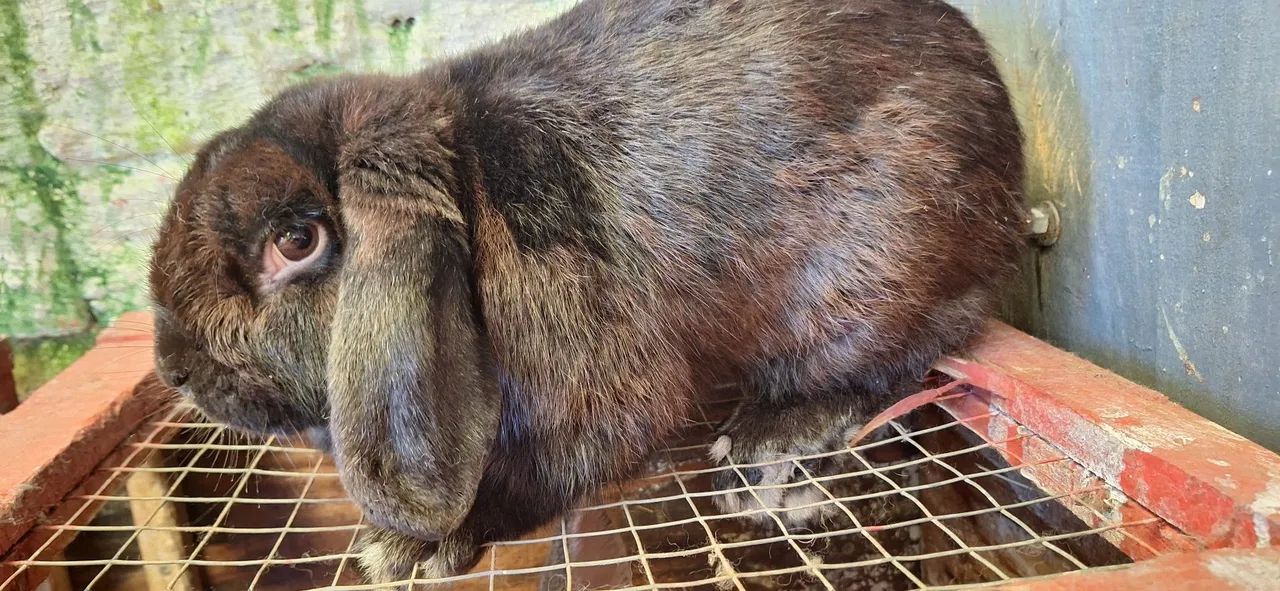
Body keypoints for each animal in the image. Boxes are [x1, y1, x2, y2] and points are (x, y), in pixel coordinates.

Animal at [148, 0, 1025, 583]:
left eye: (296, 241)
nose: (174, 368)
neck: (467, 194)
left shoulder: (593, 388)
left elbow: (557, 465)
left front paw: (412, 549)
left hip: (874, 276)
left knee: (910, 349)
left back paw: (770, 437)